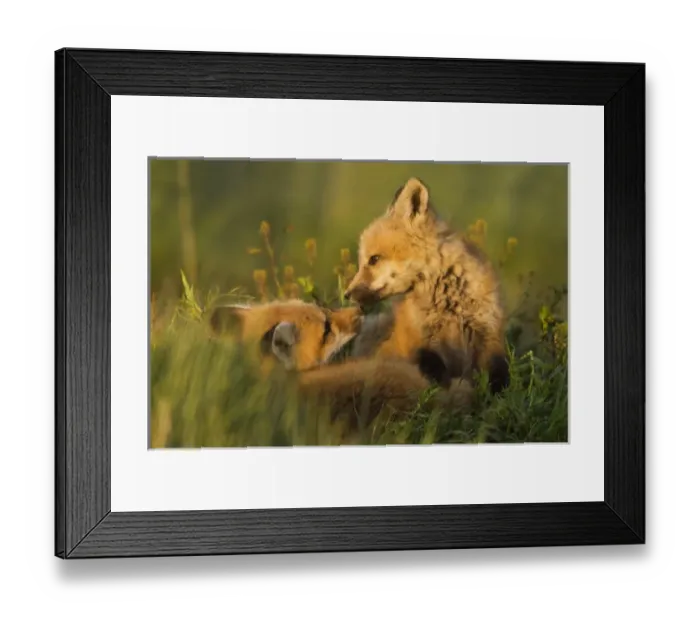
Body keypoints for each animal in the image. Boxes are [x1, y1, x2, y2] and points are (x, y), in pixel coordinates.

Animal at [343, 177, 510, 393]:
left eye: (374, 259)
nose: (346, 295)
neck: (449, 306)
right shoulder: (420, 342)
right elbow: (434, 370)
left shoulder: (490, 336)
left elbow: (499, 380)